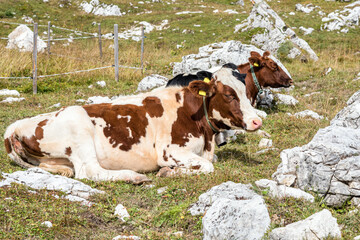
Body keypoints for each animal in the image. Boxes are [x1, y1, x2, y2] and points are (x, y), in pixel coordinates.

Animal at [4, 67, 262, 184]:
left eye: (246, 91)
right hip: (78, 125)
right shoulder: (170, 151)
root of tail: (15, 126)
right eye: (229, 94)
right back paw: (134, 176)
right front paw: (169, 172)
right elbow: (208, 167)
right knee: (90, 171)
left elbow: (210, 162)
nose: (257, 120)